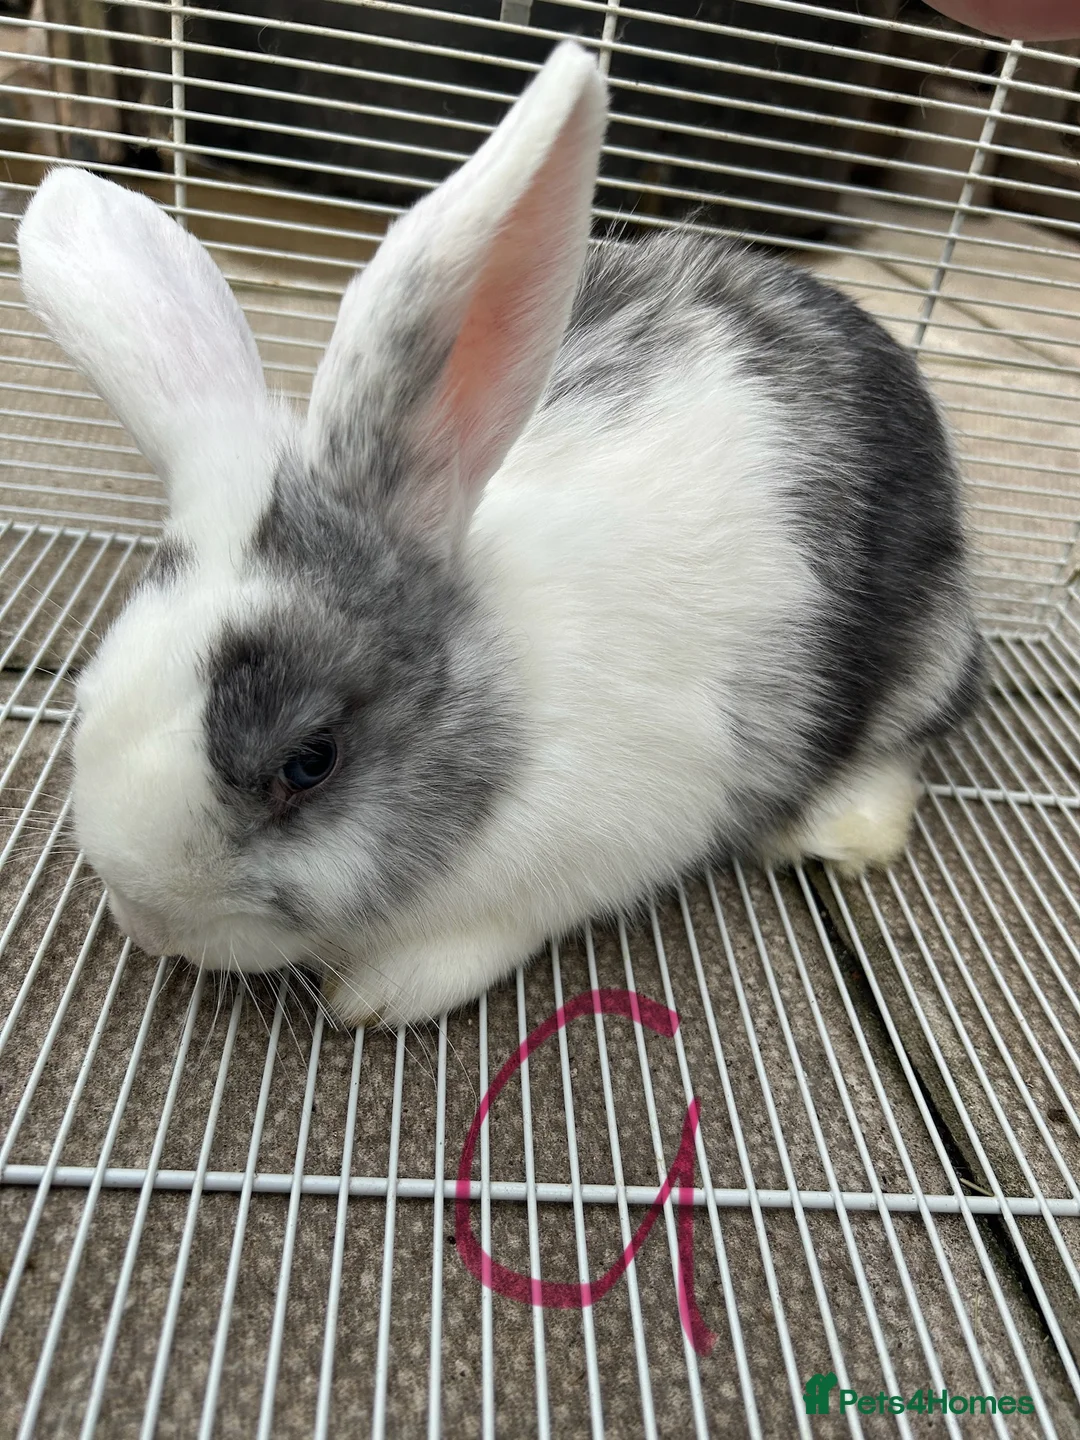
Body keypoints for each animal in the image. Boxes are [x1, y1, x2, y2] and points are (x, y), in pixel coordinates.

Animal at [18, 41, 982, 1027]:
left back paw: (838, 837)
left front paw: (376, 994)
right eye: (89, 689)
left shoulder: (613, 837)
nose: (147, 922)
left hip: (927, 645)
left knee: (908, 738)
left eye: (309, 762)